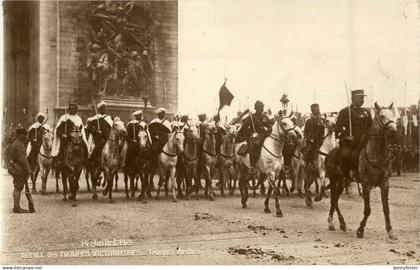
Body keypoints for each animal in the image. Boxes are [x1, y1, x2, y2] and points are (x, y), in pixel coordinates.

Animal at [326, 102, 398, 239]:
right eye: (382, 116)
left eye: (393, 115)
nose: (394, 131)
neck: (377, 155)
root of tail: (329, 154)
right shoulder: (366, 185)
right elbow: (367, 210)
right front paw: (360, 230)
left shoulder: (385, 184)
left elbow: (386, 209)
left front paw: (390, 231)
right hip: (333, 179)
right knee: (333, 199)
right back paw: (335, 222)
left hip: (342, 182)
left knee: (335, 199)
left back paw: (339, 224)